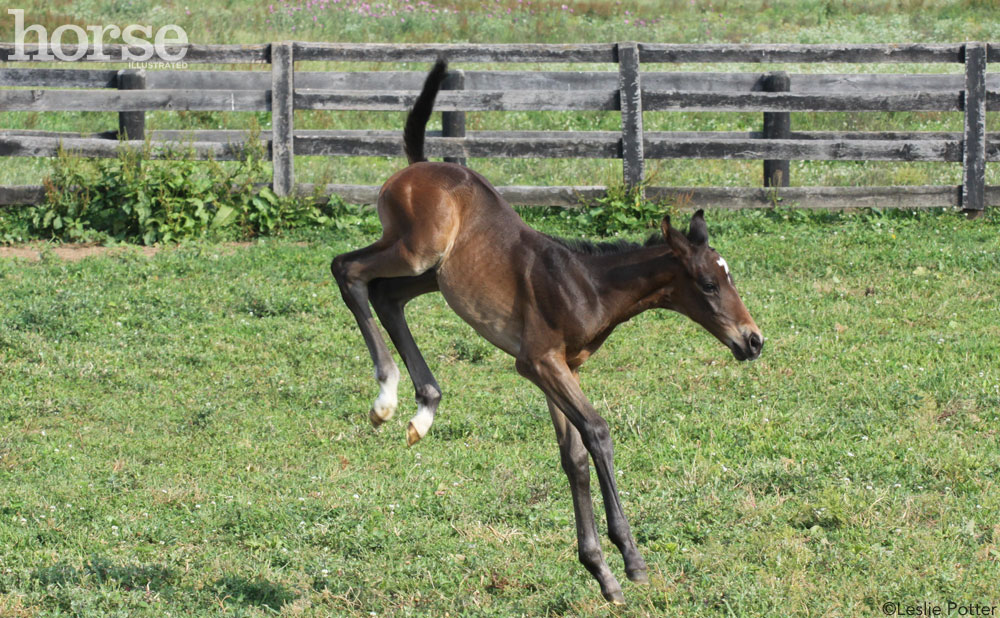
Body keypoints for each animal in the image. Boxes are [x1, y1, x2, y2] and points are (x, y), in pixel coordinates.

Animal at [332, 61, 760, 600]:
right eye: (707, 283)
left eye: (730, 276)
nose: (752, 340)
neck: (588, 284)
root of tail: (418, 165)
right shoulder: (537, 361)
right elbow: (597, 433)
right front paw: (631, 558)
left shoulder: (563, 368)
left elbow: (573, 456)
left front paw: (600, 571)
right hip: (415, 250)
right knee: (347, 269)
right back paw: (386, 397)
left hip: (433, 272)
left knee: (388, 296)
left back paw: (424, 408)